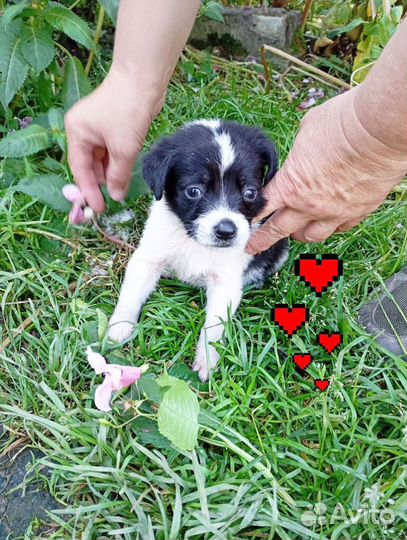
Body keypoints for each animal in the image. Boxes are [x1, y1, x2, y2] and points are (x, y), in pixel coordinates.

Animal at [108, 119, 290, 380]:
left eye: (250, 192)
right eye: (194, 191)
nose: (226, 230)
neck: (194, 242)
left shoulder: (226, 281)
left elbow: (214, 326)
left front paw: (207, 362)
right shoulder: (149, 256)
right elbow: (130, 294)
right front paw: (119, 327)